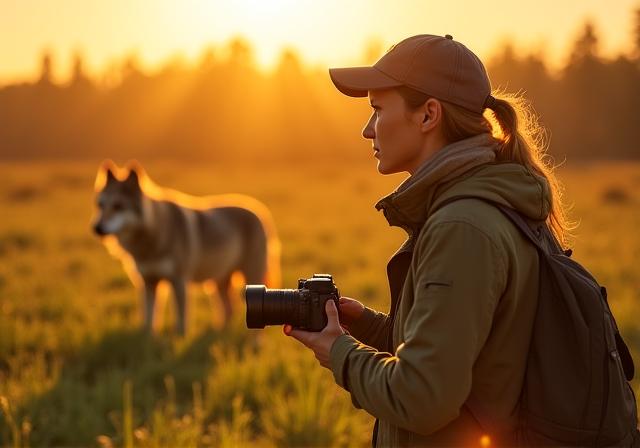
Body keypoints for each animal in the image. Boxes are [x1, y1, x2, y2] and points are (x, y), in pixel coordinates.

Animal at [92, 160, 281, 335]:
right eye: (100, 205)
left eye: (118, 206)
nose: (96, 228)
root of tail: (260, 210)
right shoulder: (148, 282)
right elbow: (149, 319)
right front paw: (147, 340)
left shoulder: (179, 281)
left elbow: (181, 321)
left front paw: (179, 339)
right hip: (218, 282)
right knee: (228, 309)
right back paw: (218, 332)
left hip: (249, 276)